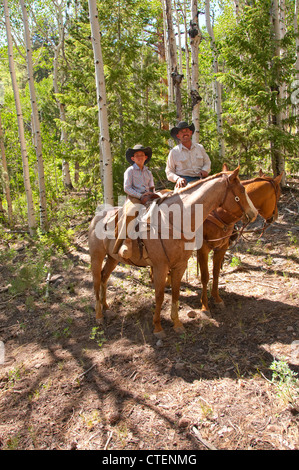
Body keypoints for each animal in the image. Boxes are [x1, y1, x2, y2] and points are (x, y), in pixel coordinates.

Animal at [88, 167, 258, 336]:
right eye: (242, 190)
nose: (254, 213)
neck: (173, 221)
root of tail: (96, 217)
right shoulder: (160, 267)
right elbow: (160, 295)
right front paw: (158, 327)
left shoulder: (180, 265)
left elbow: (176, 293)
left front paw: (177, 323)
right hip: (96, 257)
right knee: (96, 281)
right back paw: (98, 315)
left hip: (113, 258)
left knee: (104, 277)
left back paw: (106, 307)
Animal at [198, 167, 284, 314]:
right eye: (277, 196)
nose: (275, 216)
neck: (219, 213)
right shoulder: (203, 249)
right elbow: (205, 276)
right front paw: (205, 306)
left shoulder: (221, 248)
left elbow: (216, 273)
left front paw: (217, 299)